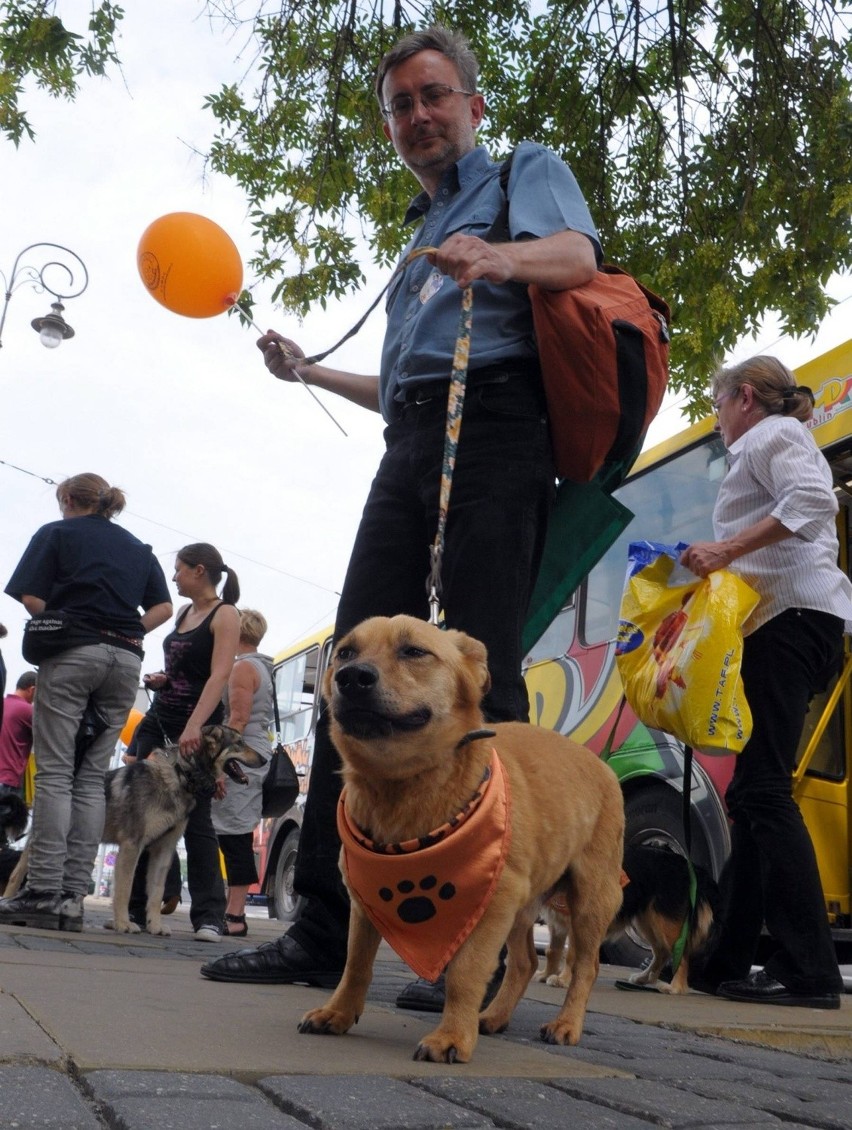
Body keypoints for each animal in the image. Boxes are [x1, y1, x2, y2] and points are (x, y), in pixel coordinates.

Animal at [298, 614, 623, 1062]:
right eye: (345, 653)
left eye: (414, 651)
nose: (351, 677)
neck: (403, 791)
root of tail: (601, 763)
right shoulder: (366, 902)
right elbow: (355, 965)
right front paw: (339, 1013)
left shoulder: (490, 903)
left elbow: (465, 974)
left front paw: (452, 1036)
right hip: (523, 902)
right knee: (524, 962)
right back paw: (494, 1016)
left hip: (590, 898)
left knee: (585, 966)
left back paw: (566, 1025)